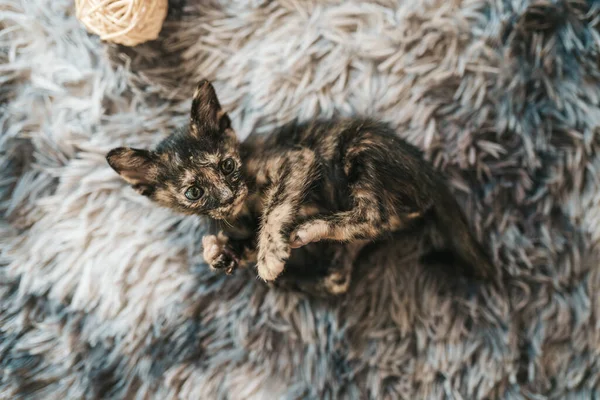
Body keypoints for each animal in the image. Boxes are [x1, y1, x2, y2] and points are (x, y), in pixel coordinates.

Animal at [106, 79, 496, 296]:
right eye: (194, 193)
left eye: (228, 166)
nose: (229, 195)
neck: (243, 209)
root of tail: (430, 174)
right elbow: (242, 244)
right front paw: (221, 253)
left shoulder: (297, 158)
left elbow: (276, 208)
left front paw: (269, 255)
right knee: (340, 274)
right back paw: (293, 275)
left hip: (358, 146)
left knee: (374, 213)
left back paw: (308, 230)